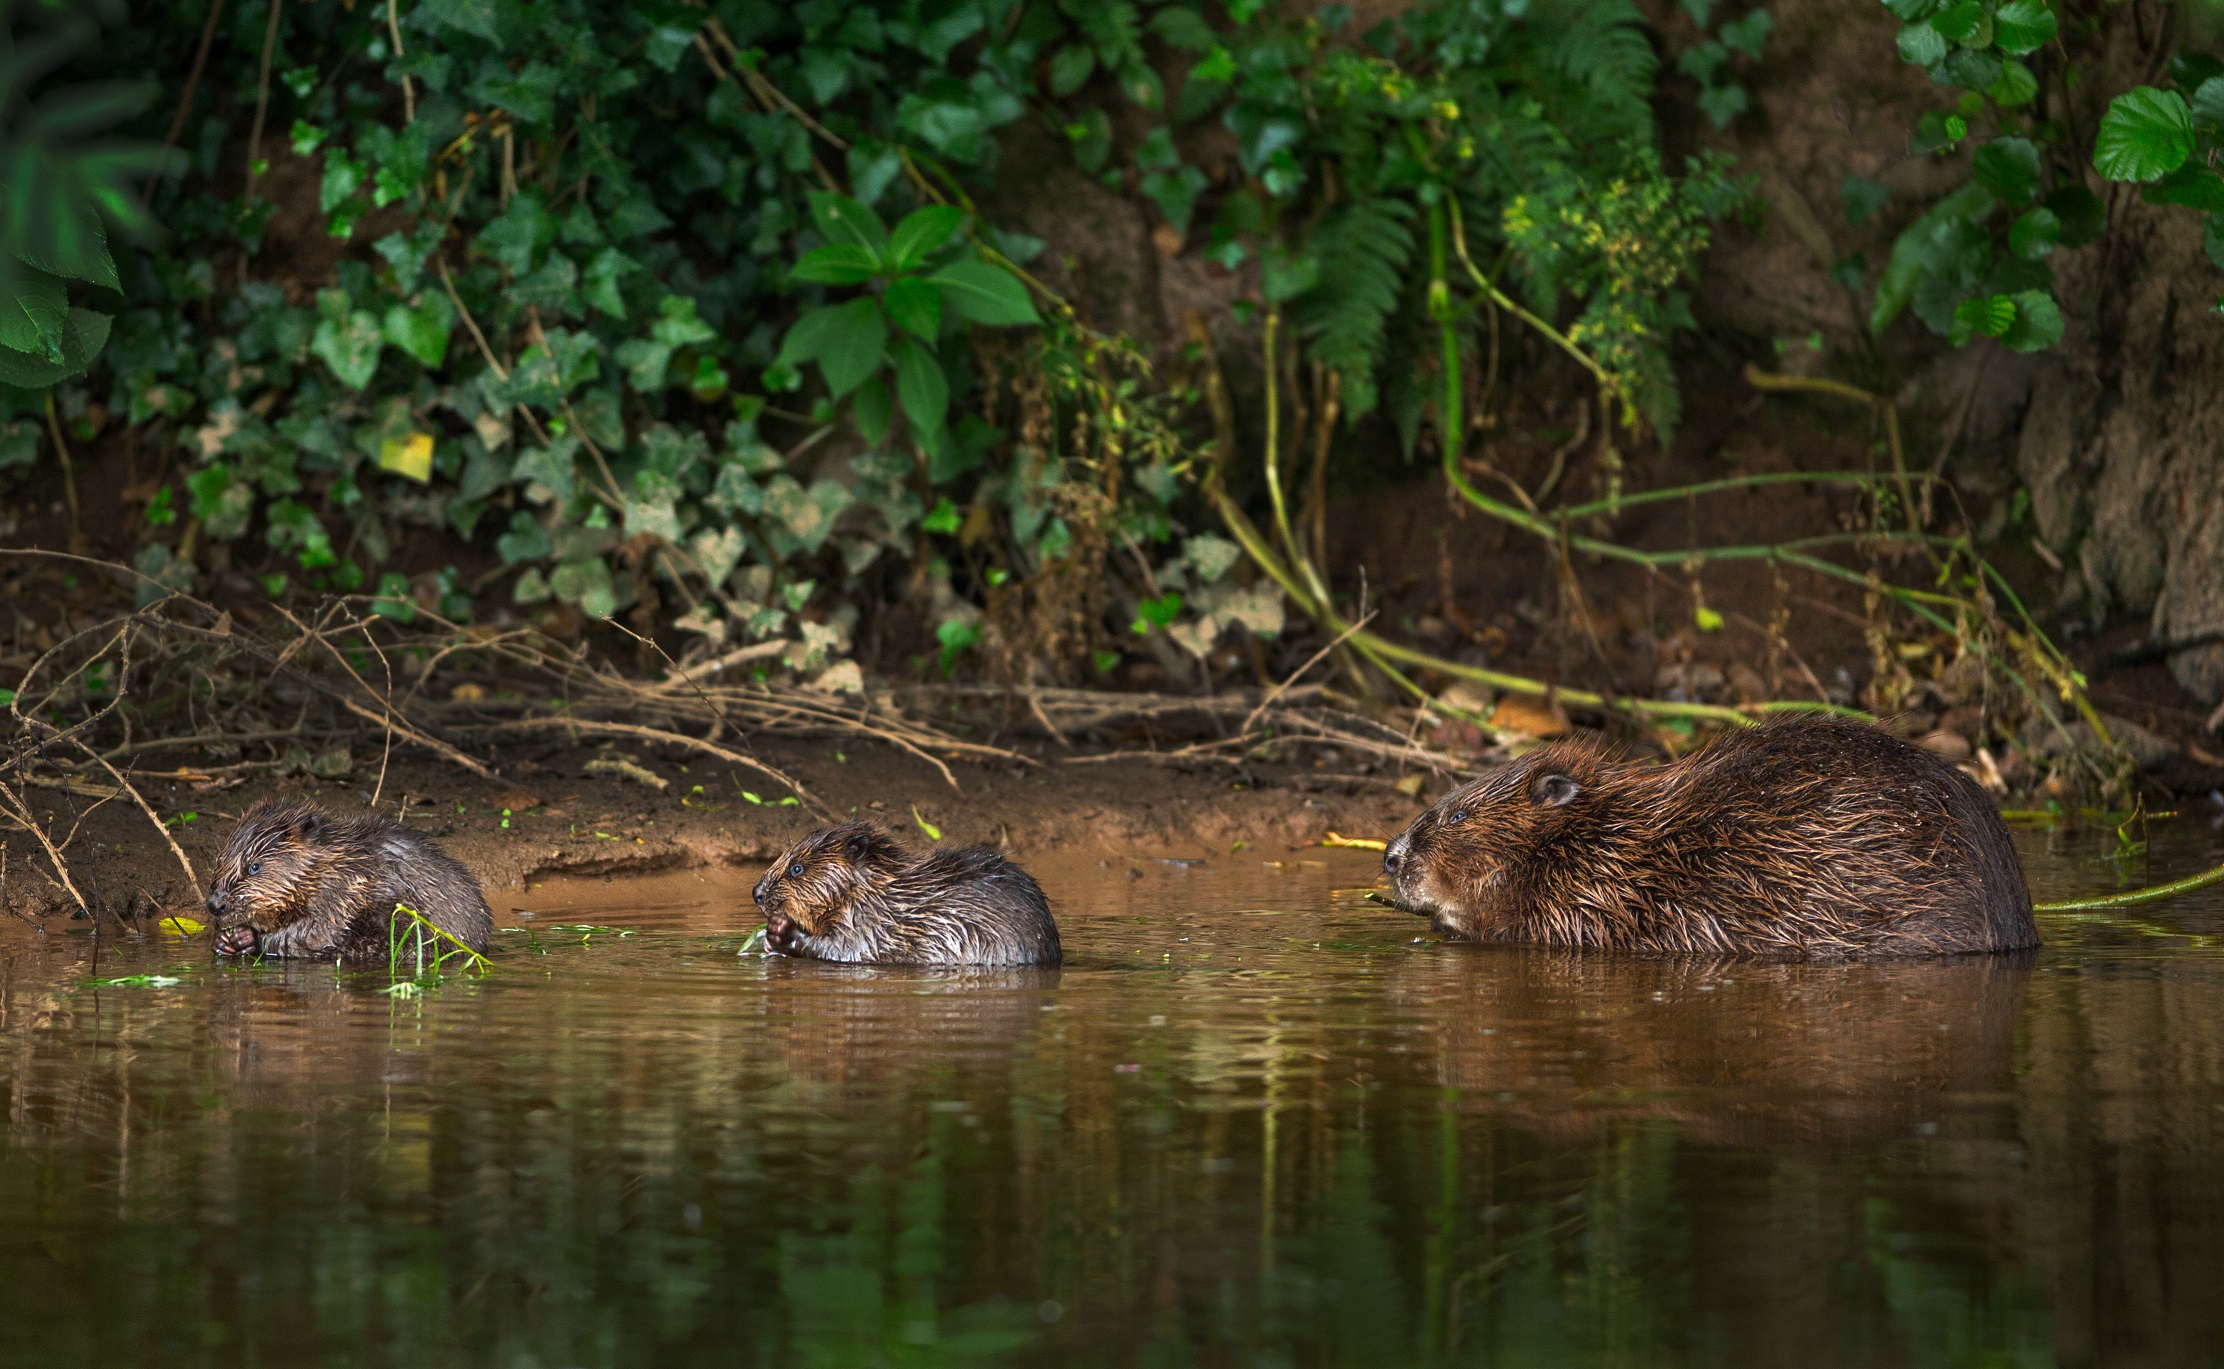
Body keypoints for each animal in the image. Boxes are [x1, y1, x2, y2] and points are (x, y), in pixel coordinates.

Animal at [206, 800, 494, 964]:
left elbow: (316, 933)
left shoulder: (341, 892)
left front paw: (244, 937)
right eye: (220, 857)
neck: (336, 861)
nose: (214, 904)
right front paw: (221, 941)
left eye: (254, 866)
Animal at [753, 822, 1060, 966]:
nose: (756, 893)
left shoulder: (870, 923)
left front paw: (779, 930)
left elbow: (845, 949)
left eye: (796, 868)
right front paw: (768, 940)